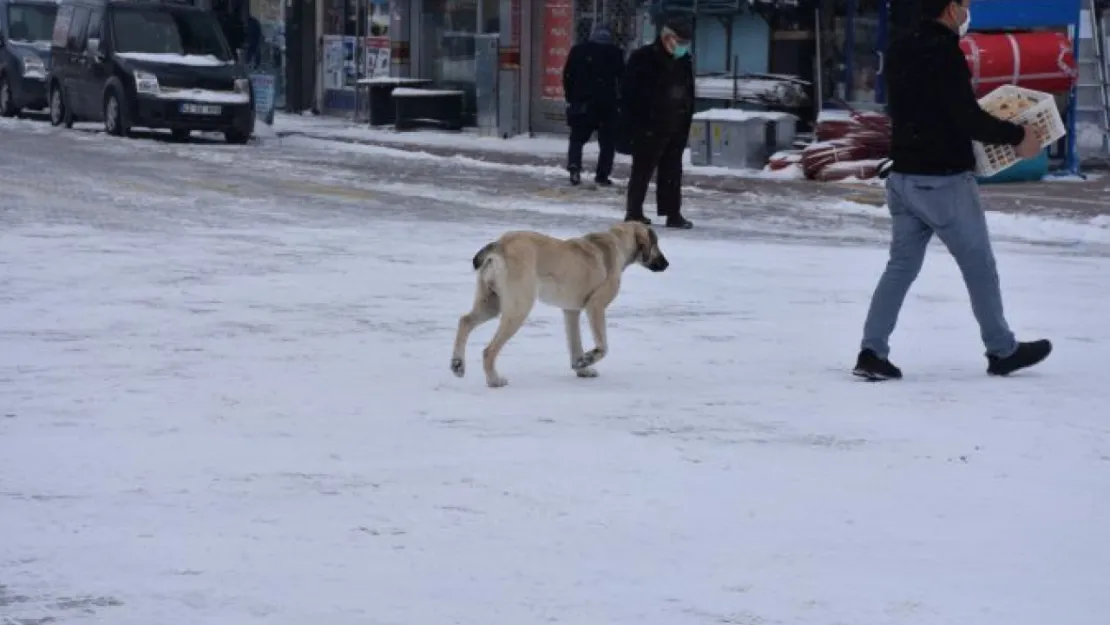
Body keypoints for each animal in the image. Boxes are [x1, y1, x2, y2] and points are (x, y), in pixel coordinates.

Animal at [448, 219, 666, 386]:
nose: (667, 264)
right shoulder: (595, 306)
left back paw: (458, 364)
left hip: (491, 303)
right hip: (519, 308)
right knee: (488, 350)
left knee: (464, 321)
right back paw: (494, 380)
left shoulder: (571, 311)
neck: (617, 243)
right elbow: (603, 346)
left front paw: (581, 367)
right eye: (656, 243)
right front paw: (588, 358)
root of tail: (501, 243)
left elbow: (575, 343)